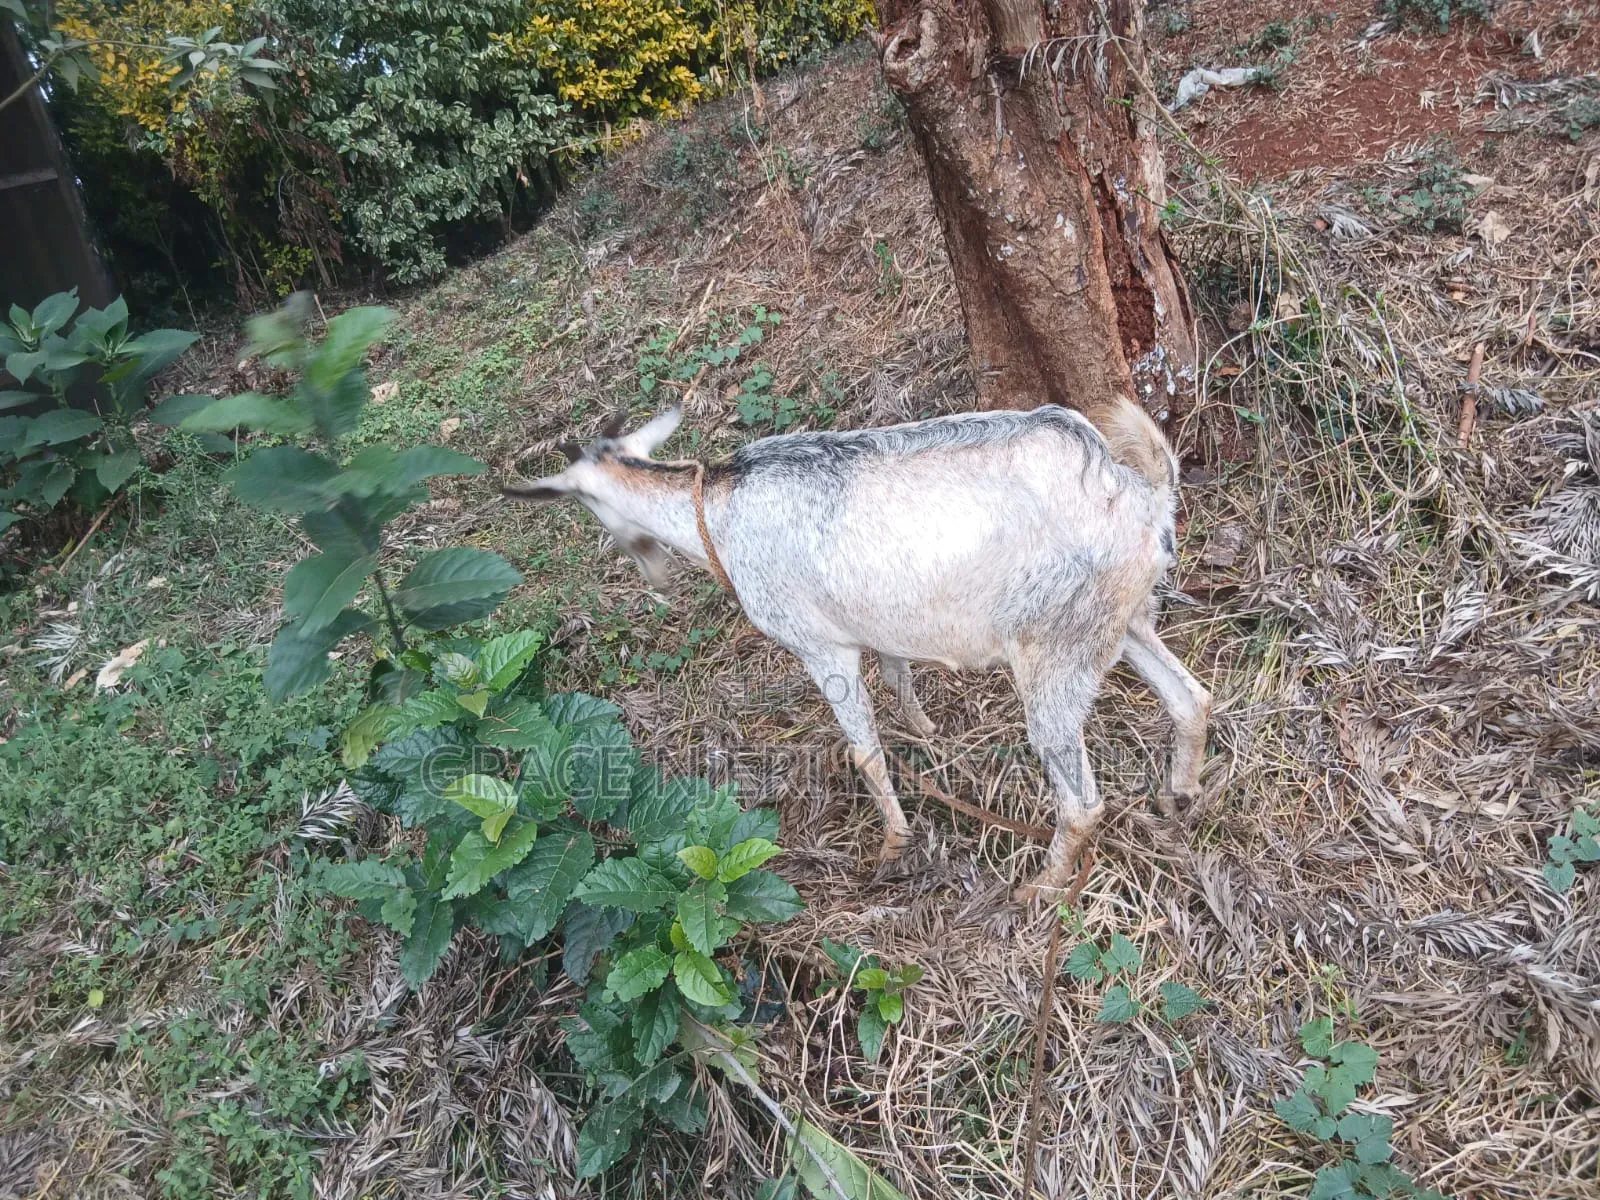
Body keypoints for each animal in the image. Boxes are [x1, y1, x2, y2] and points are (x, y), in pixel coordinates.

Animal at [504, 402, 1210, 900]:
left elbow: (865, 751)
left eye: (589, 509)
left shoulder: (821, 644)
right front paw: (925, 732)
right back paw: (1178, 798)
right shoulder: (878, 625)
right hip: (1125, 620)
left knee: (1082, 799)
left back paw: (1041, 887)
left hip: (1057, 645)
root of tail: (1141, 493)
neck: (721, 509)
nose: (652, 577)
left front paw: (894, 844)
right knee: (1192, 698)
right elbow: (899, 676)